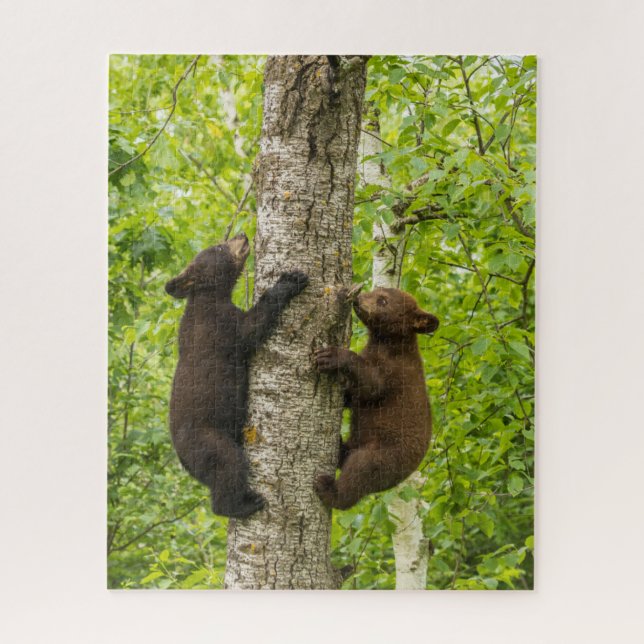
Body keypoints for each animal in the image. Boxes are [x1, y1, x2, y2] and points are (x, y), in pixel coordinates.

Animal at [165, 233, 309, 518]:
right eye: (219, 247)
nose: (241, 235)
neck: (207, 297)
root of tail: (184, 462)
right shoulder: (218, 327)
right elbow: (250, 330)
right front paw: (289, 281)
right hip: (209, 441)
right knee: (229, 465)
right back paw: (244, 505)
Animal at [314, 287, 439, 510]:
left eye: (383, 300)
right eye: (375, 290)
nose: (358, 298)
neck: (388, 343)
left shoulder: (395, 371)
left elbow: (372, 386)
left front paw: (332, 356)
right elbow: (356, 393)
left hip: (384, 455)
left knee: (360, 471)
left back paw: (330, 490)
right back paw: (340, 447)